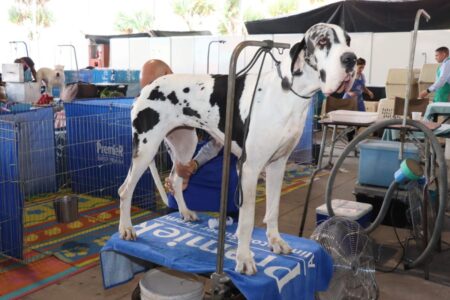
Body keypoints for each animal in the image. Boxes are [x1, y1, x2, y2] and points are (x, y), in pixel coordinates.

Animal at [118, 23, 356, 276]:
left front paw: (275, 241)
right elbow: (247, 220)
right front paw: (244, 259)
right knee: (125, 190)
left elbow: (273, 210)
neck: (286, 95)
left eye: (348, 40)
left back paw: (185, 212)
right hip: (146, 149)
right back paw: (126, 229)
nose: (352, 59)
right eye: (322, 41)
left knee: (175, 179)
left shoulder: (277, 165)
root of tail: (146, 88)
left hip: (185, 144)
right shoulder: (250, 169)